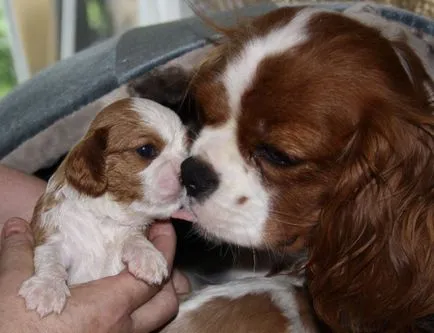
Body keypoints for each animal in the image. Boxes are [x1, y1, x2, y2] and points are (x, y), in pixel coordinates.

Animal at [18, 96, 186, 316]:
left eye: (188, 152)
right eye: (146, 150)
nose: (188, 171)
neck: (107, 215)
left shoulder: (130, 231)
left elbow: (134, 238)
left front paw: (148, 257)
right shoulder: (54, 234)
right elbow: (50, 258)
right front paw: (46, 289)